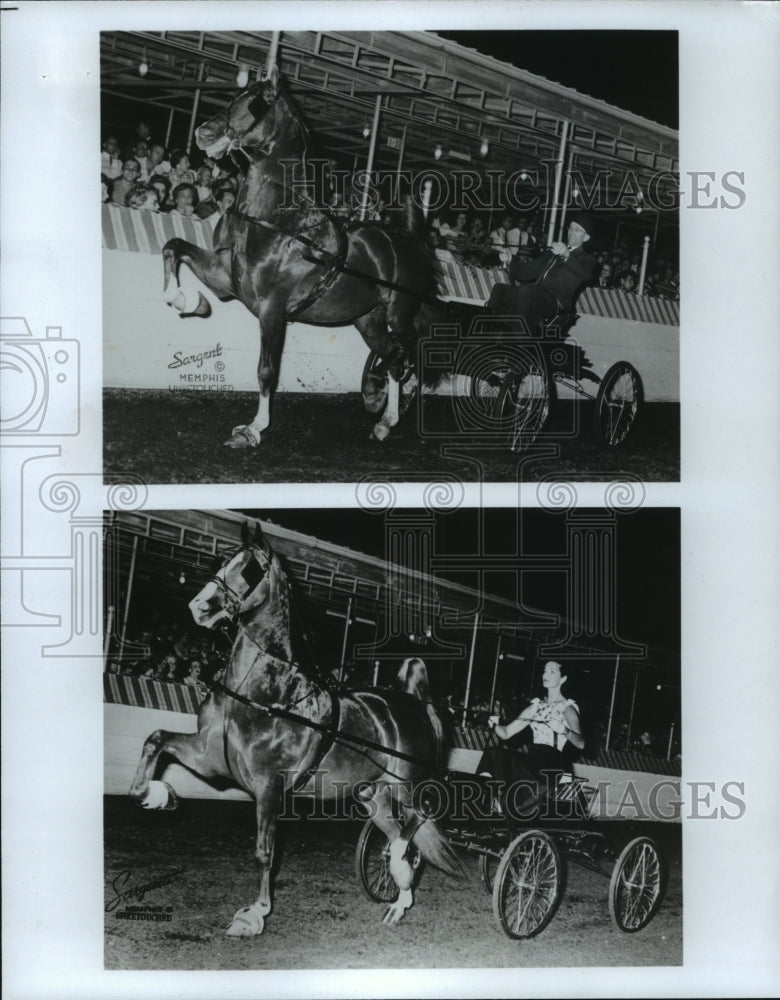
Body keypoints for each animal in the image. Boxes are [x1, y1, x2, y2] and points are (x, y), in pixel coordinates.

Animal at [129, 524, 464, 936]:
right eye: (221, 559)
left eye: (250, 568)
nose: (200, 607)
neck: (260, 695)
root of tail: (413, 702)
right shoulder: (210, 760)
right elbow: (156, 739)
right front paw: (156, 795)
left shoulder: (269, 786)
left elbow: (264, 851)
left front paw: (255, 913)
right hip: (373, 794)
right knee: (397, 830)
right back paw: (399, 898)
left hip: (408, 783)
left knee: (417, 820)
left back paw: (401, 864)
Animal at [161, 66, 436, 446]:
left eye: (255, 102)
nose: (204, 133)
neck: (275, 222)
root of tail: (411, 241)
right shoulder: (224, 282)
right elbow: (173, 246)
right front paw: (187, 301)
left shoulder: (272, 308)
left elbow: (266, 370)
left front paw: (253, 429)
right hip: (368, 319)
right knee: (392, 356)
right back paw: (382, 418)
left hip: (399, 314)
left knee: (407, 357)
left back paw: (392, 412)